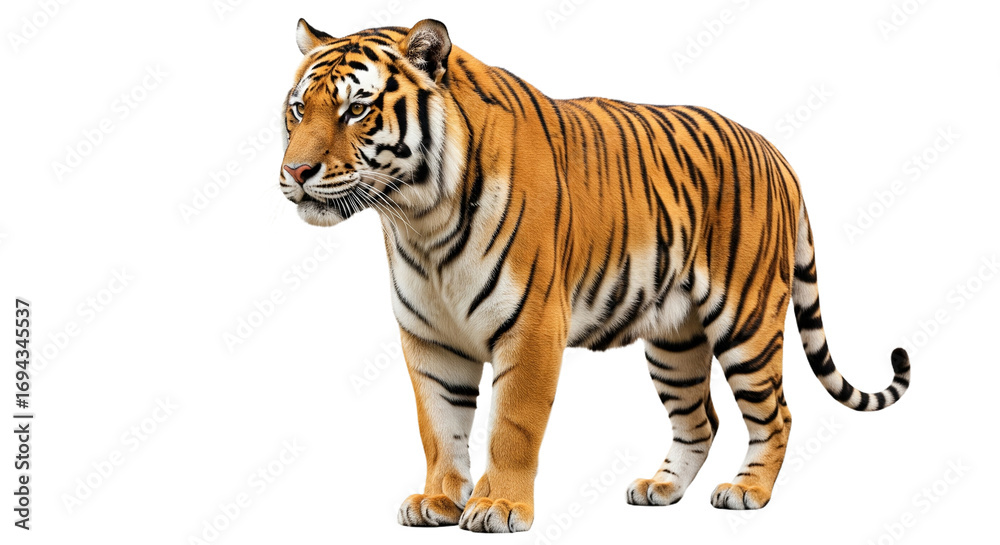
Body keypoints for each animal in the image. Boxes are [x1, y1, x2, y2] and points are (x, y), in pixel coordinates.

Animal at [278, 18, 911, 533]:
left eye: (357, 110)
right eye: (298, 110)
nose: (295, 171)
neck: (417, 217)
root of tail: (777, 154)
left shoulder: (531, 328)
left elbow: (512, 426)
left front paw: (499, 507)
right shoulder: (430, 339)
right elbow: (439, 426)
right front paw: (437, 502)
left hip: (746, 322)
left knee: (775, 413)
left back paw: (747, 490)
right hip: (674, 341)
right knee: (700, 420)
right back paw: (661, 487)